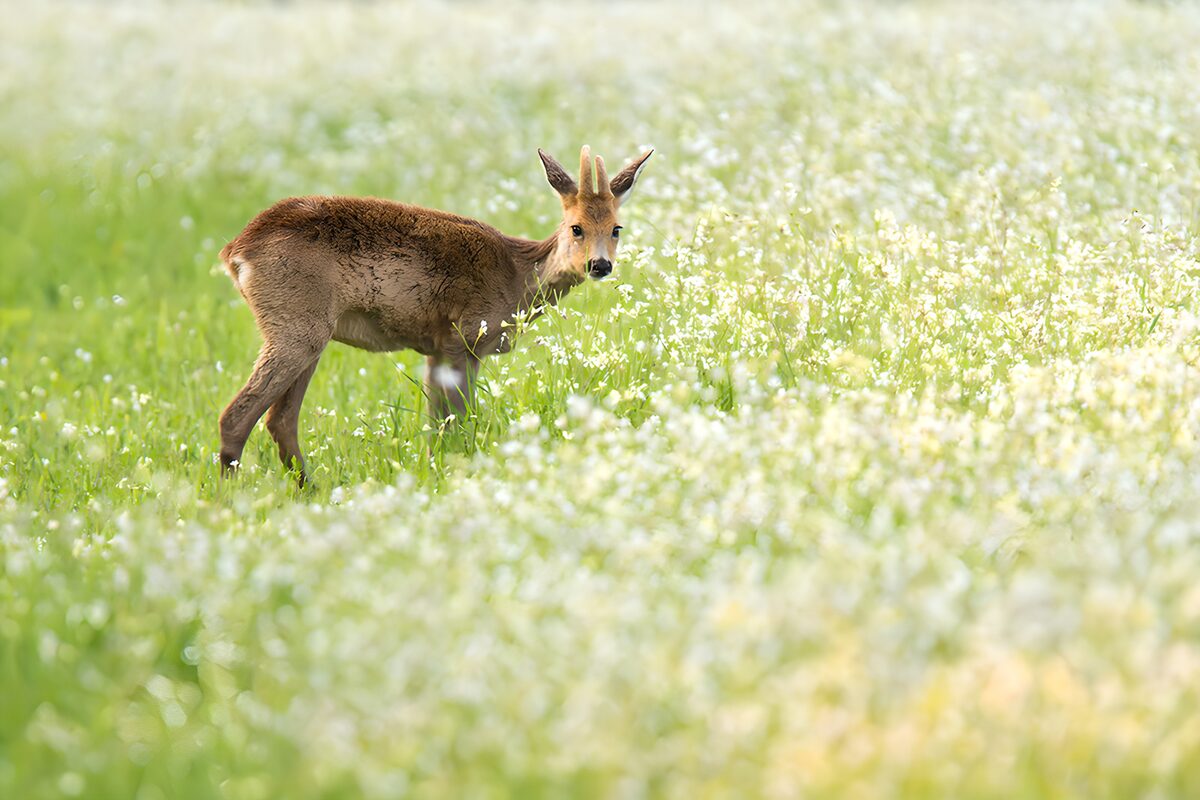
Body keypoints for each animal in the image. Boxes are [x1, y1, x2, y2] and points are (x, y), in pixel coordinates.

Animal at [217, 145, 652, 486]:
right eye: (576, 227)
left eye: (617, 228)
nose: (600, 265)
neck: (518, 276)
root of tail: (235, 251)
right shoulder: (464, 337)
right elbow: (457, 420)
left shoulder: (437, 348)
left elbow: (437, 423)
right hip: (295, 325)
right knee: (236, 415)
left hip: (307, 333)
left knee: (280, 420)